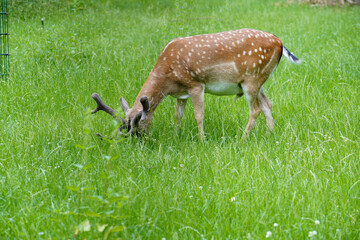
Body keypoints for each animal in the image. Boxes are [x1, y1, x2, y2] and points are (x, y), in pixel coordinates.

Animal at [90, 28, 300, 140]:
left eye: (139, 128)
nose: (143, 142)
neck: (167, 77)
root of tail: (280, 43)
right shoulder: (180, 93)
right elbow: (178, 116)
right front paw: (176, 137)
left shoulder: (196, 84)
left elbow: (198, 115)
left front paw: (202, 140)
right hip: (259, 80)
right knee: (267, 104)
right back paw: (270, 135)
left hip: (251, 79)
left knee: (255, 109)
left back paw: (242, 139)